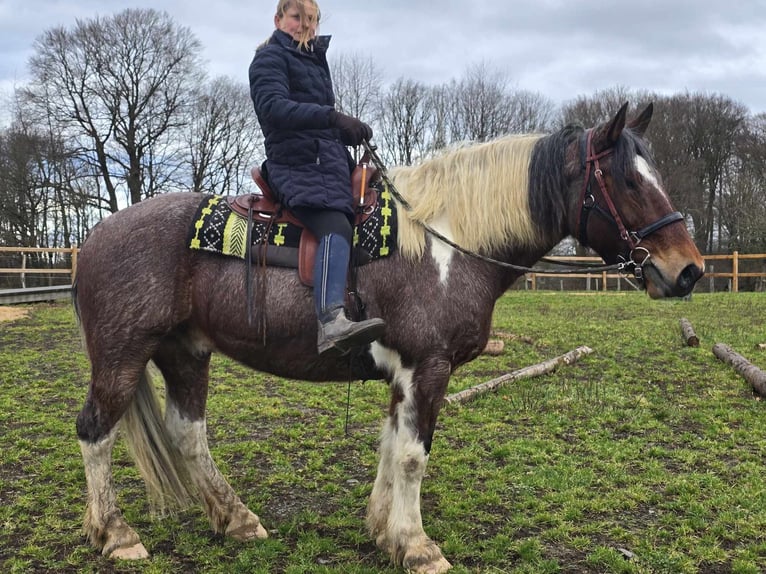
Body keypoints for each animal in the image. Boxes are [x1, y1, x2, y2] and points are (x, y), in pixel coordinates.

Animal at [73, 101, 708, 572]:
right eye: (627, 181)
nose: (688, 271)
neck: (447, 244)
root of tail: (96, 238)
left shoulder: (402, 374)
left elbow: (388, 447)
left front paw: (385, 531)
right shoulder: (428, 367)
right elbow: (411, 456)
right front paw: (419, 546)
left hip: (185, 352)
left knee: (187, 435)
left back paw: (237, 519)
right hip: (122, 356)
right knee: (95, 432)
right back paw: (116, 533)